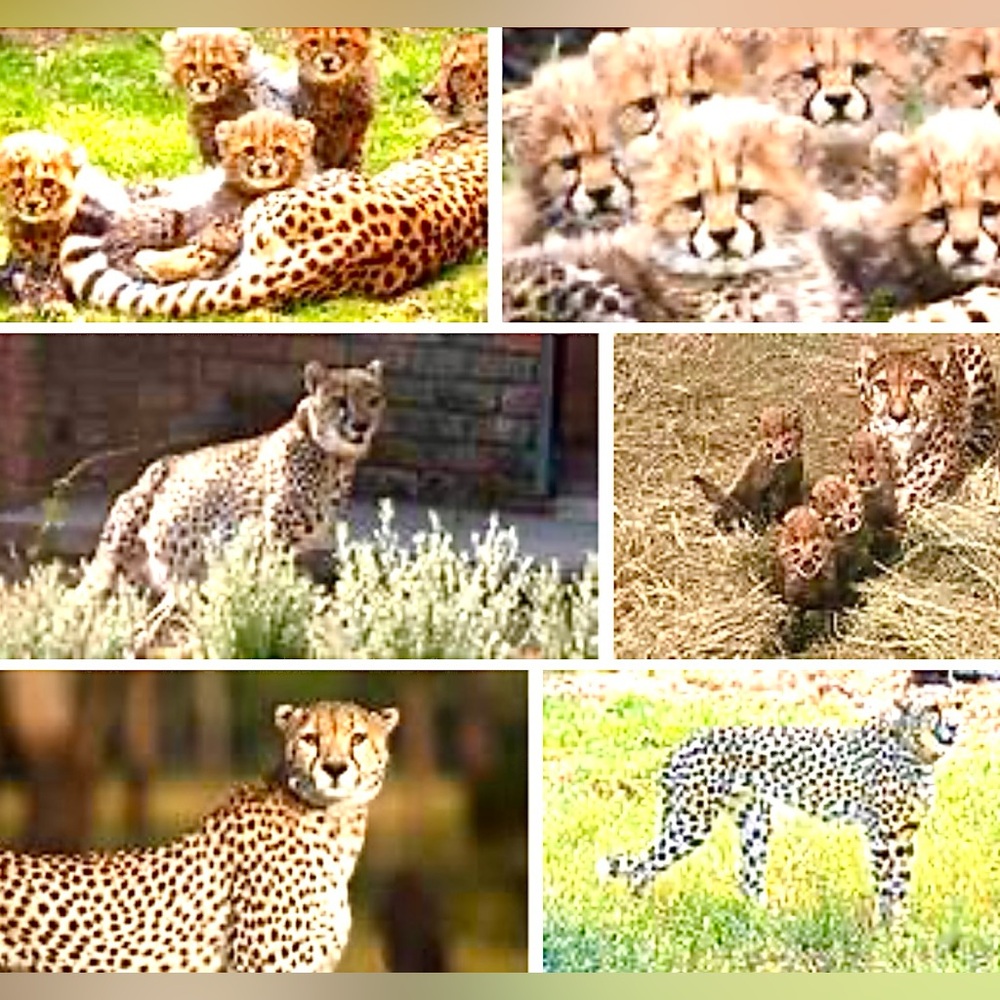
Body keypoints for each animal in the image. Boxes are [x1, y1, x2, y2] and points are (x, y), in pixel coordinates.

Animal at [0, 130, 132, 311]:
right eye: (18, 182)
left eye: (48, 183)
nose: (32, 204)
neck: (37, 227)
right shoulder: (23, 253)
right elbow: (28, 275)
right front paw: (27, 303)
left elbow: (54, 276)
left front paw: (54, 302)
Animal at [80, 360, 384, 598]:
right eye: (340, 400)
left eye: (374, 401)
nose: (362, 425)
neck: (334, 459)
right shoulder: (273, 540)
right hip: (119, 548)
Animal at [288, 27, 377, 172]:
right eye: (313, 43)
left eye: (342, 41)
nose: (327, 60)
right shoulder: (317, 134)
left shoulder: (358, 134)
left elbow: (354, 160)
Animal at [597, 699, 958, 922]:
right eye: (933, 707)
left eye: (957, 705)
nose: (954, 726)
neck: (916, 748)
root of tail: (685, 743)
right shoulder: (881, 833)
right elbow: (887, 885)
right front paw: (887, 932)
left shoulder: (904, 833)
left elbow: (901, 883)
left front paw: (901, 928)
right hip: (692, 823)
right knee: (641, 866)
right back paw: (638, 913)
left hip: (754, 823)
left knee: (748, 878)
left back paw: (769, 922)